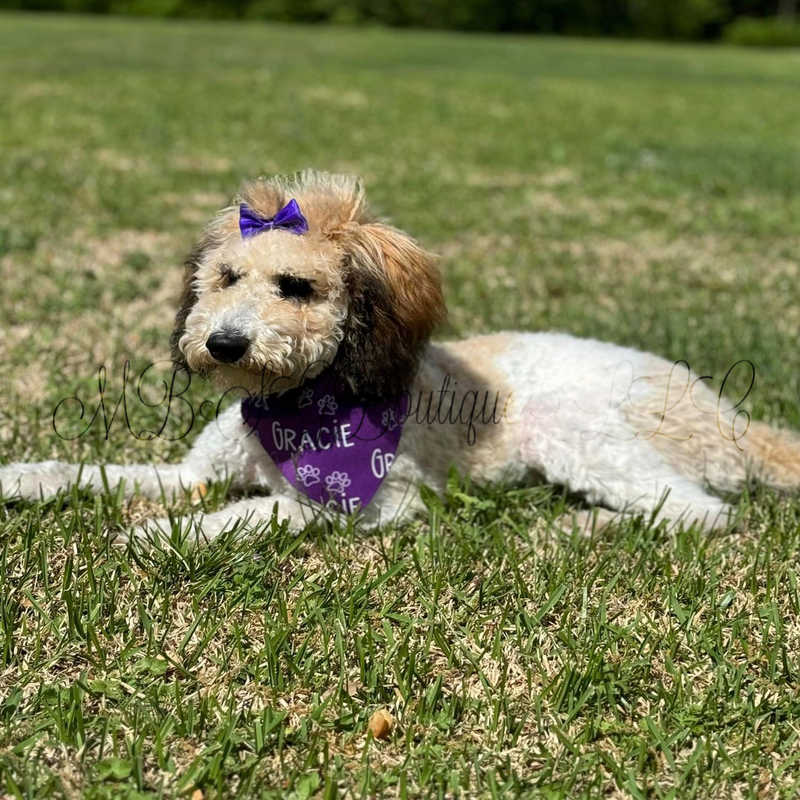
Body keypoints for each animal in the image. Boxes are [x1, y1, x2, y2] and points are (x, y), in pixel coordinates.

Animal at [1, 171, 800, 540]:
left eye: (297, 287)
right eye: (224, 277)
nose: (221, 344)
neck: (297, 404)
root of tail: (735, 421)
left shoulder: (373, 501)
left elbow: (250, 514)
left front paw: (157, 536)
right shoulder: (193, 472)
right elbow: (98, 472)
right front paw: (24, 477)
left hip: (577, 430)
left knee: (699, 512)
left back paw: (576, 526)